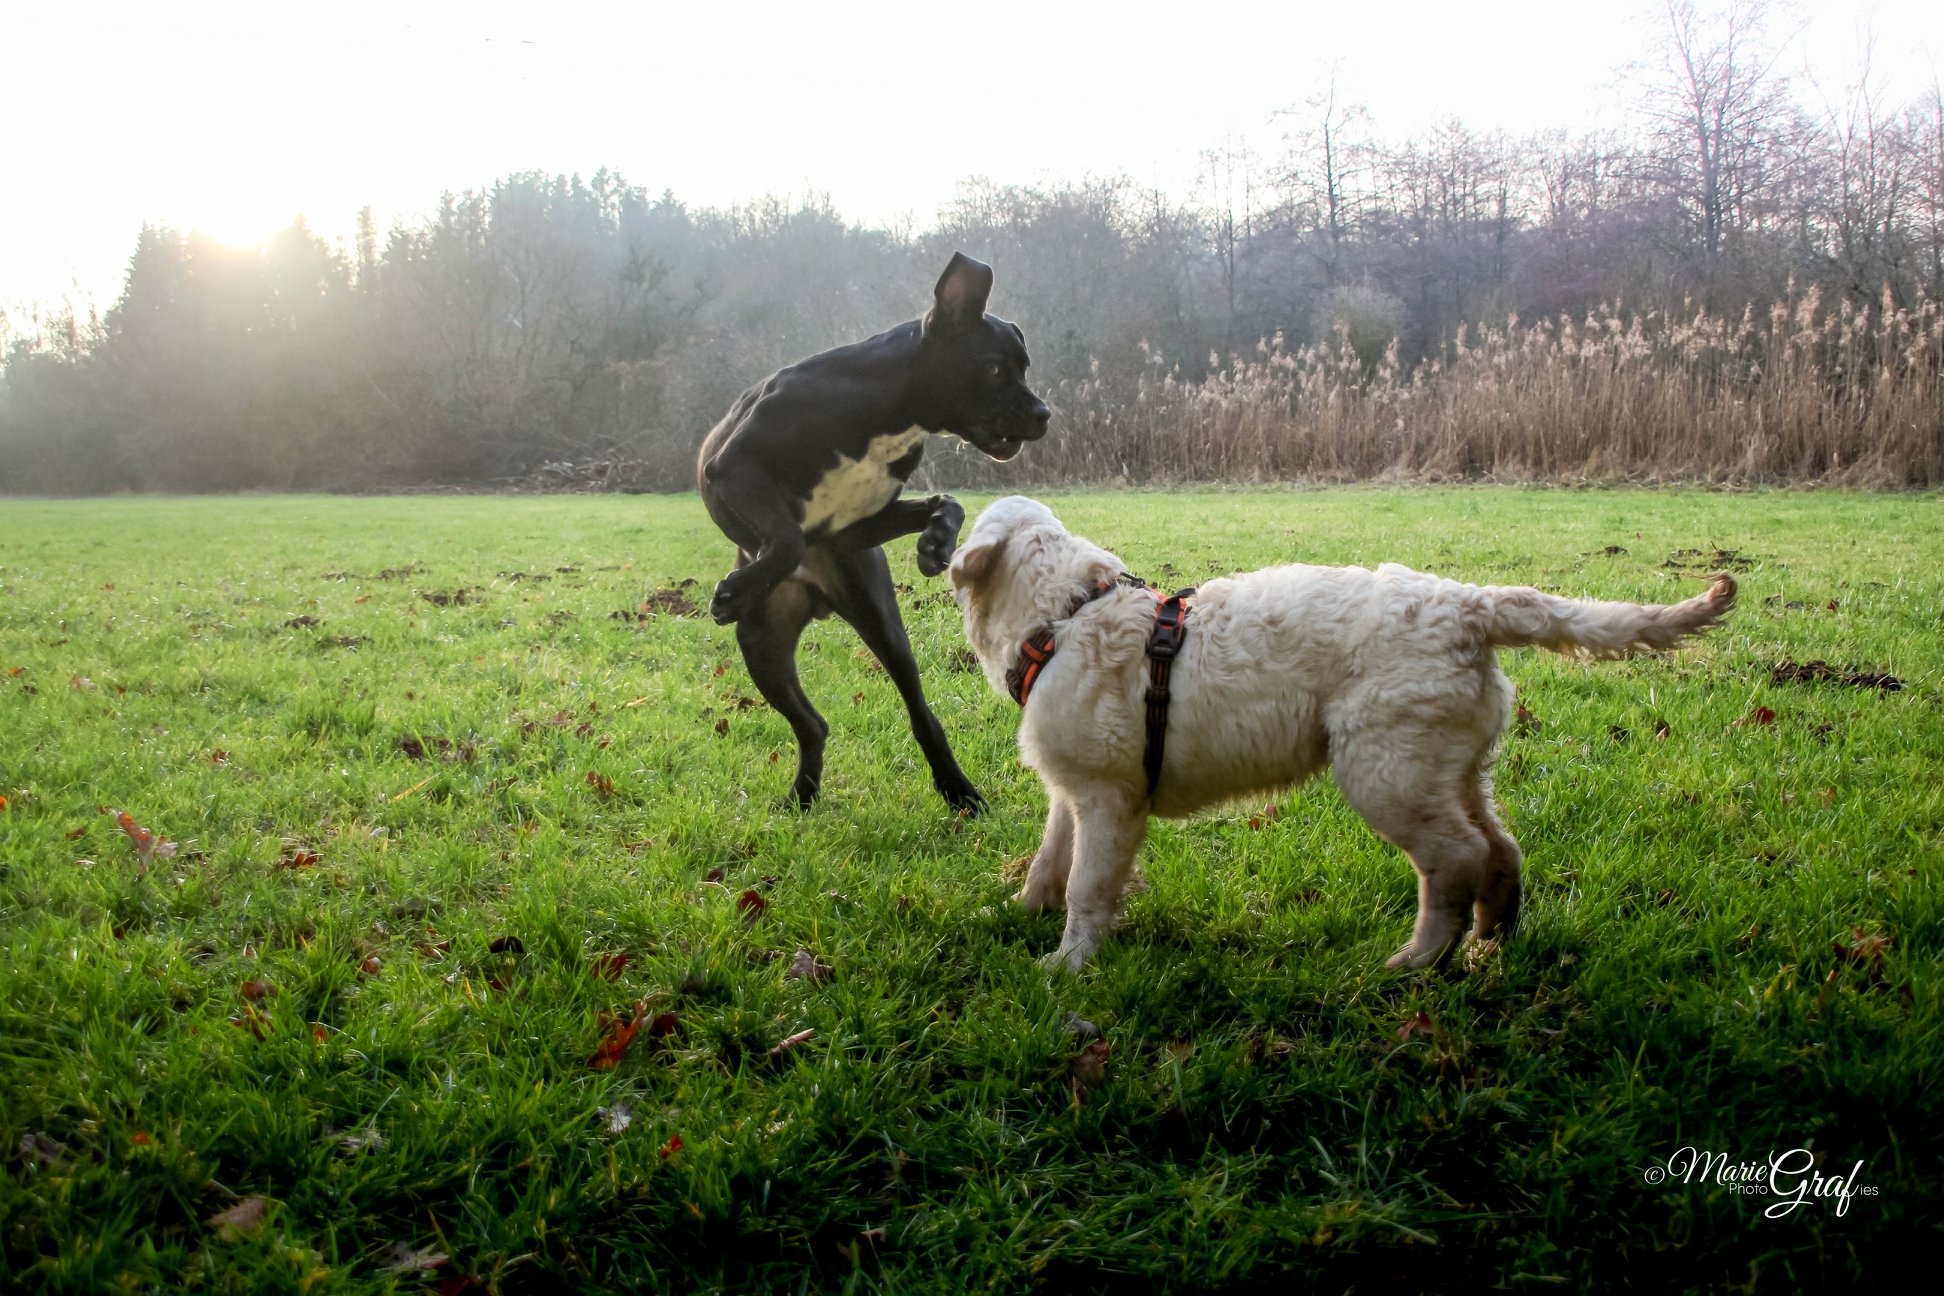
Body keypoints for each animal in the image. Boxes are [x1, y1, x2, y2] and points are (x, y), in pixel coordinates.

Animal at [692, 252, 1041, 812]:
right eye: (992, 368)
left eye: (1024, 367)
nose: (1044, 415)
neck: (888, 407)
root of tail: (816, 598)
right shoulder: (734, 470)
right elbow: (788, 536)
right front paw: (734, 588)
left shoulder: (853, 531)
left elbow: (948, 502)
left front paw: (935, 544)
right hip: (761, 642)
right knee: (812, 725)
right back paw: (802, 798)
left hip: (880, 627)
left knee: (912, 715)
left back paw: (958, 792)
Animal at [948, 497, 1741, 971]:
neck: (1067, 614)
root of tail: (1469, 605)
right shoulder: (1072, 792)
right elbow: (1049, 863)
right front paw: (1016, 914)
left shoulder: (1110, 800)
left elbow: (1086, 883)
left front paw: (1068, 964)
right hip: (1450, 763)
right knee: (1500, 847)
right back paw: (1492, 938)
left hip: (1386, 770)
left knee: (1456, 858)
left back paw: (1418, 960)